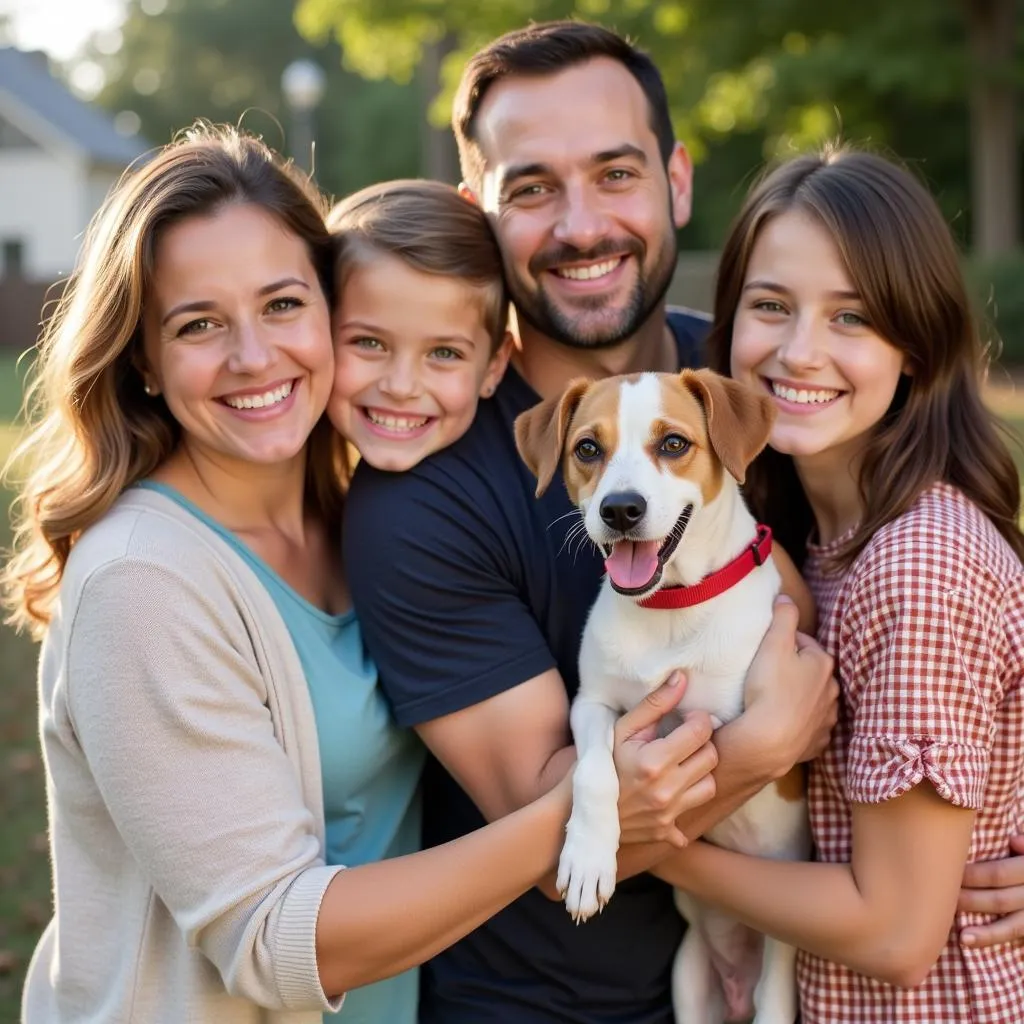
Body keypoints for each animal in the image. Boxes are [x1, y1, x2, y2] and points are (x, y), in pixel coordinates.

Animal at [516, 368, 811, 1024]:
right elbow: (593, 771)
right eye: (587, 449)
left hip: (775, 985)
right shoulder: (592, 704)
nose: (621, 509)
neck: (671, 606)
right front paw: (588, 858)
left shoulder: (728, 721)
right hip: (690, 980)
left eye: (674, 444)